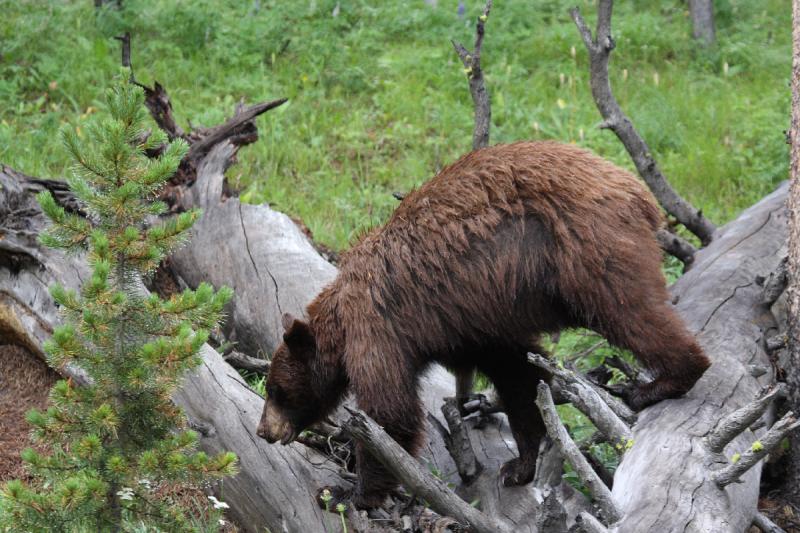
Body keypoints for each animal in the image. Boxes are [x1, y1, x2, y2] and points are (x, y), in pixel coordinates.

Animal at [258, 140, 712, 508]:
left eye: (276, 389)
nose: (264, 430)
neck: (338, 322)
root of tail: (638, 191)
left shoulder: (379, 326)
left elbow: (389, 412)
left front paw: (349, 491)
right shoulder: (472, 323)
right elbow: (519, 375)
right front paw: (520, 464)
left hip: (585, 249)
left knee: (632, 313)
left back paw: (660, 383)